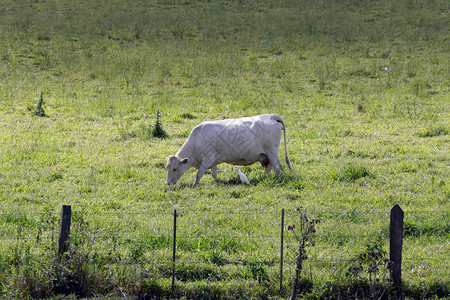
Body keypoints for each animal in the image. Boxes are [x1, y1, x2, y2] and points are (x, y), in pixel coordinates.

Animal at [164, 114, 292, 185]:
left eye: (174, 169)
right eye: (167, 168)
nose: (168, 183)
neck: (197, 140)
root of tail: (271, 116)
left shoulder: (207, 158)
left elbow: (199, 174)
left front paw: (194, 185)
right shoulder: (213, 160)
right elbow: (214, 173)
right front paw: (216, 182)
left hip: (272, 151)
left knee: (277, 166)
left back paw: (276, 179)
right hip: (266, 155)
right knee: (270, 167)